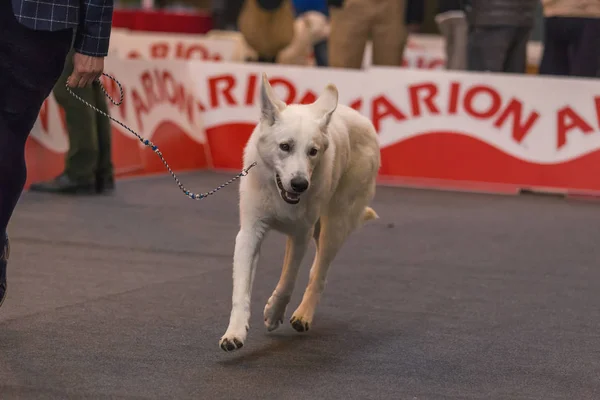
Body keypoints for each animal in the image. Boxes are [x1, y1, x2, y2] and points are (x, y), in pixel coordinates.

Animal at [220, 73, 380, 352]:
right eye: (285, 146)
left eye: (312, 151)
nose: (299, 184)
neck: (277, 190)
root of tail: (366, 122)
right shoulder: (250, 232)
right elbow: (241, 289)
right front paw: (235, 333)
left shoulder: (301, 235)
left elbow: (289, 280)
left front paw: (274, 312)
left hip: (334, 226)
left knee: (318, 274)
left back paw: (303, 314)